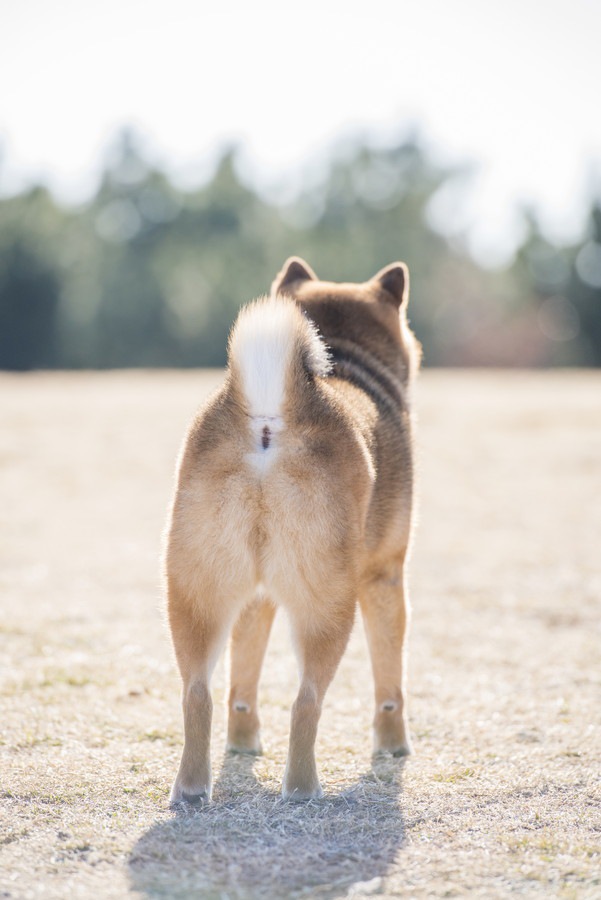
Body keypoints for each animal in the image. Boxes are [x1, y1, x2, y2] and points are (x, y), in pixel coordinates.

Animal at [164, 256, 418, 804]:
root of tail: (267, 420)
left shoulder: (256, 597)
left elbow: (242, 685)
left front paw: (243, 744)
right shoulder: (385, 577)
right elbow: (390, 685)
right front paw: (393, 746)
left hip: (197, 595)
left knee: (197, 694)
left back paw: (193, 789)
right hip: (329, 605)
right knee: (307, 703)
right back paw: (303, 787)